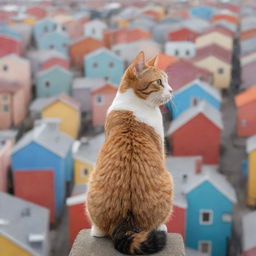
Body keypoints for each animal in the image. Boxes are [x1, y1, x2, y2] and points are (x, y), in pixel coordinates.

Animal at [86, 51, 174, 255]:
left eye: (167, 81)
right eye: (159, 82)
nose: (172, 90)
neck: (136, 102)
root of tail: (125, 221)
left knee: (100, 231)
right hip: (168, 180)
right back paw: (161, 226)